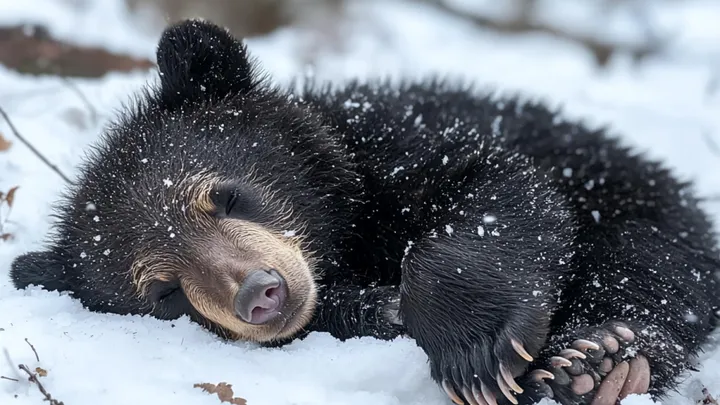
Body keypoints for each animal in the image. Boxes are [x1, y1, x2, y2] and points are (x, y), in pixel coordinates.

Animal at [9, 19, 720, 405]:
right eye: (164, 292)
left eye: (225, 194)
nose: (262, 293)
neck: (343, 235)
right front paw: (380, 309)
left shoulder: (398, 147)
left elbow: (496, 187)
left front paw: (477, 349)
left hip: (636, 198)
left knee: (650, 268)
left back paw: (598, 358)